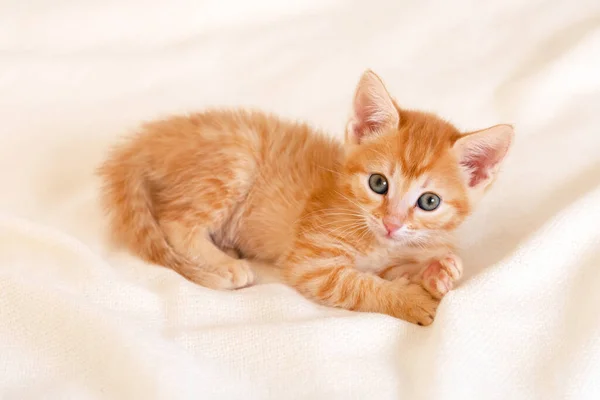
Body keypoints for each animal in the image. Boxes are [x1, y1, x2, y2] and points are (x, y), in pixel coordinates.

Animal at [97, 69, 510, 324]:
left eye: (429, 202)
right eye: (378, 183)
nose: (391, 223)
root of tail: (155, 137)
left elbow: (395, 268)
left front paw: (437, 272)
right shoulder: (311, 262)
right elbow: (359, 285)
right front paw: (413, 300)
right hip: (237, 157)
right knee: (175, 221)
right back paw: (225, 263)